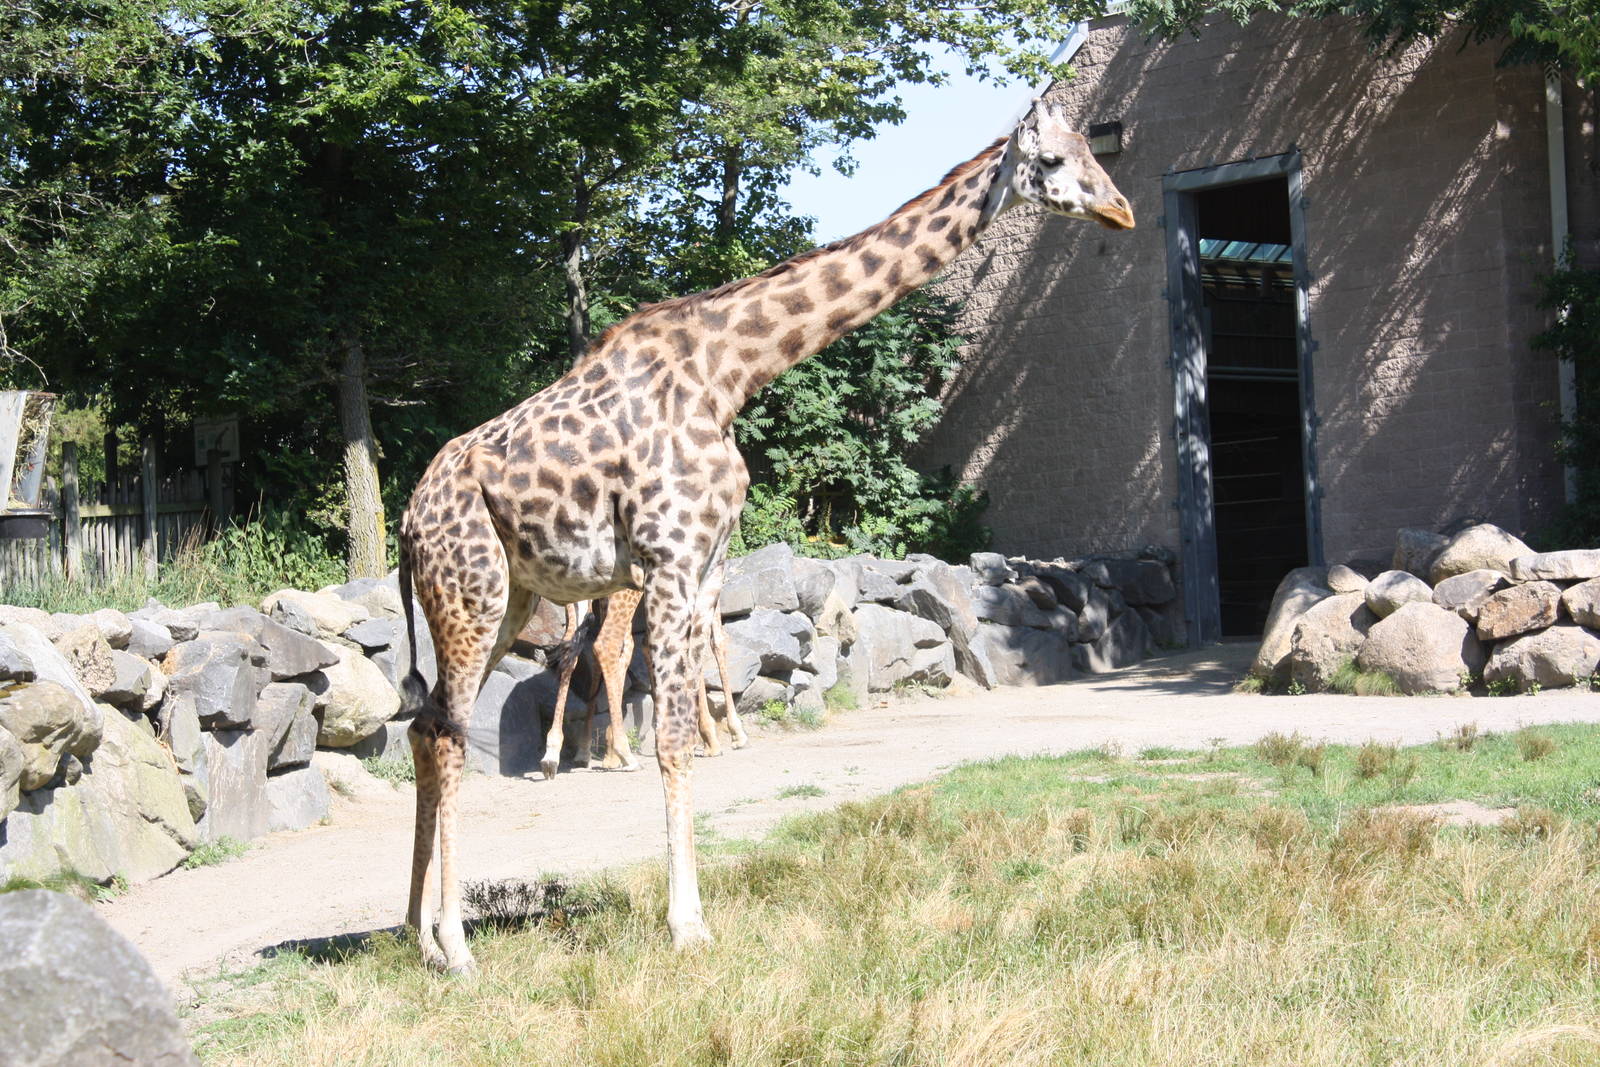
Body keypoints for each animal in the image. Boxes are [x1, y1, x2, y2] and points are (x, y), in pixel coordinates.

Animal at [396, 99, 1133, 973]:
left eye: (1092, 151)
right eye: (1052, 161)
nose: (1121, 210)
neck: (729, 373)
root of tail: (407, 520)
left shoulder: (700, 562)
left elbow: (682, 719)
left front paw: (689, 914)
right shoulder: (670, 560)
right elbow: (674, 736)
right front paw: (687, 924)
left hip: (505, 598)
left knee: (426, 724)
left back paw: (415, 929)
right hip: (469, 593)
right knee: (446, 731)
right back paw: (454, 944)